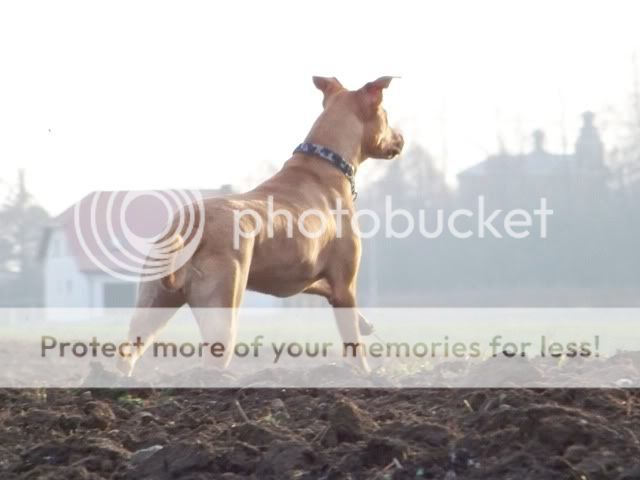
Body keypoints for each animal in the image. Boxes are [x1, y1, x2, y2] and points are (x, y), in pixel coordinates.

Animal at [118, 76, 404, 375]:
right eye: (387, 116)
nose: (402, 138)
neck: (325, 162)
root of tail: (189, 225)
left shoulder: (306, 279)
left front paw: (365, 324)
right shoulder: (344, 286)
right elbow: (355, 348)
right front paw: (365, 374)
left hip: (152, 306)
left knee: (127, 352)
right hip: (222, 313)